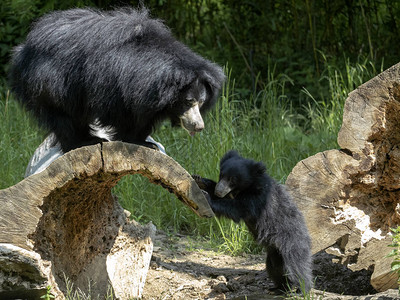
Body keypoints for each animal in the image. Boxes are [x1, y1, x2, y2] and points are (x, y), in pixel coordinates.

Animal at [9, 8, 225, 154]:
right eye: (188, 102)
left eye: (202, 102)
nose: (199, 126)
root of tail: (23, 50)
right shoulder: (115, 82)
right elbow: (121, 111)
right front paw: (135, 140)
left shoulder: (150, 99)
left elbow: (144, 117)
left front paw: (145, 142)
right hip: (51, 82)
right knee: (63, 115)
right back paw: (81, 142)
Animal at [194, 151, 312, 292]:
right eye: (221, 175)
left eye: (233, 179)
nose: (219, 191)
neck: (248, 187)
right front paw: (200, 180)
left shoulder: (258, 198)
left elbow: (236, 208)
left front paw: (206, 196)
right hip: (274, 253)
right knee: (275, 267)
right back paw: (279, 288)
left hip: (292, 241)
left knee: (297, 265)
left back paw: (302, 289)